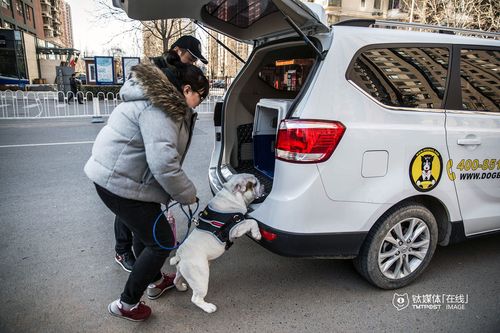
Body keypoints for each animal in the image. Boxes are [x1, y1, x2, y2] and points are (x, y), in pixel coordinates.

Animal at [169, 172, 264, 312]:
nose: (263, 185)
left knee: (176, 280)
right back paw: (208, 307)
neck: (231, 194)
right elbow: (253, 222)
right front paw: (257, 234)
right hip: (200, 277)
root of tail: (179, 256)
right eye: (255, 184)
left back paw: (181, 287)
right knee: (196, 298)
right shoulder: (236, 228)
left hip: (183, 271)